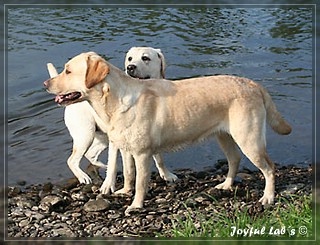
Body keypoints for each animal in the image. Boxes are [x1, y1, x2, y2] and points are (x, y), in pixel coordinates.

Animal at [46, 47, 178, 189]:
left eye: (145, 58)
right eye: (130, 58)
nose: (130, 67)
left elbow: (159, 158)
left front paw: (167, 175)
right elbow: (115, 163)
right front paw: (108, 185)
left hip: (101, 137)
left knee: (90, 154)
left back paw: (101, 166)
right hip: (86, 135)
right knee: (72, 160)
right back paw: (83, 177)